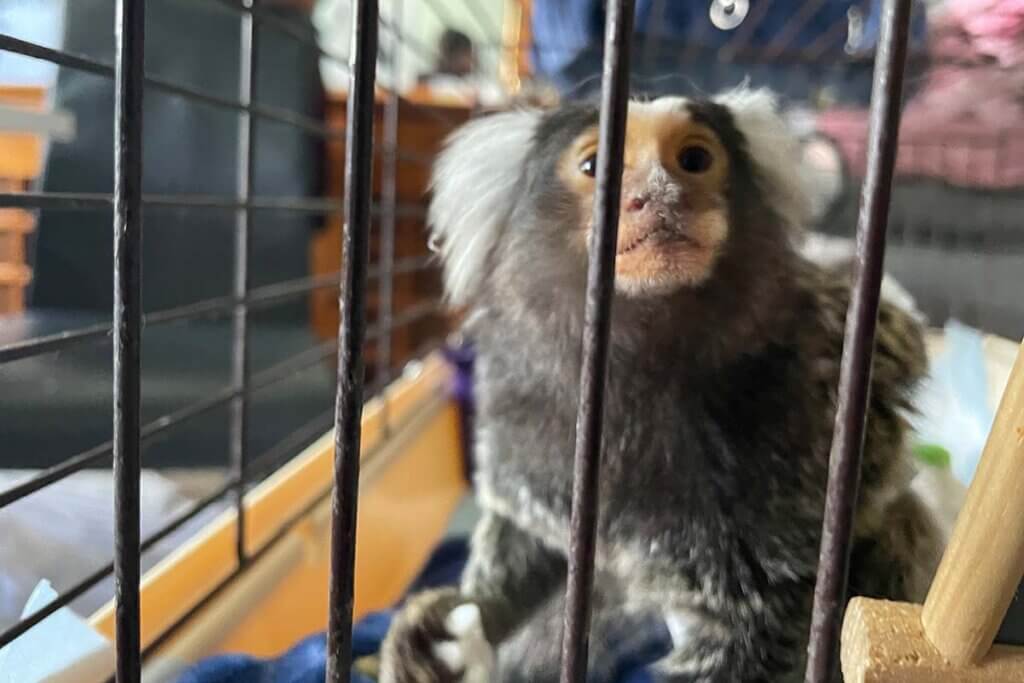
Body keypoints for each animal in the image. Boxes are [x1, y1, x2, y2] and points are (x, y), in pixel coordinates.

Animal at [378, 87, 945, 683]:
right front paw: (456, 624)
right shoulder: (519, 424)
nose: (656, 197)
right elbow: (526, 536)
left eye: (694, 159)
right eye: (594, 166)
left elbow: (758, 629)